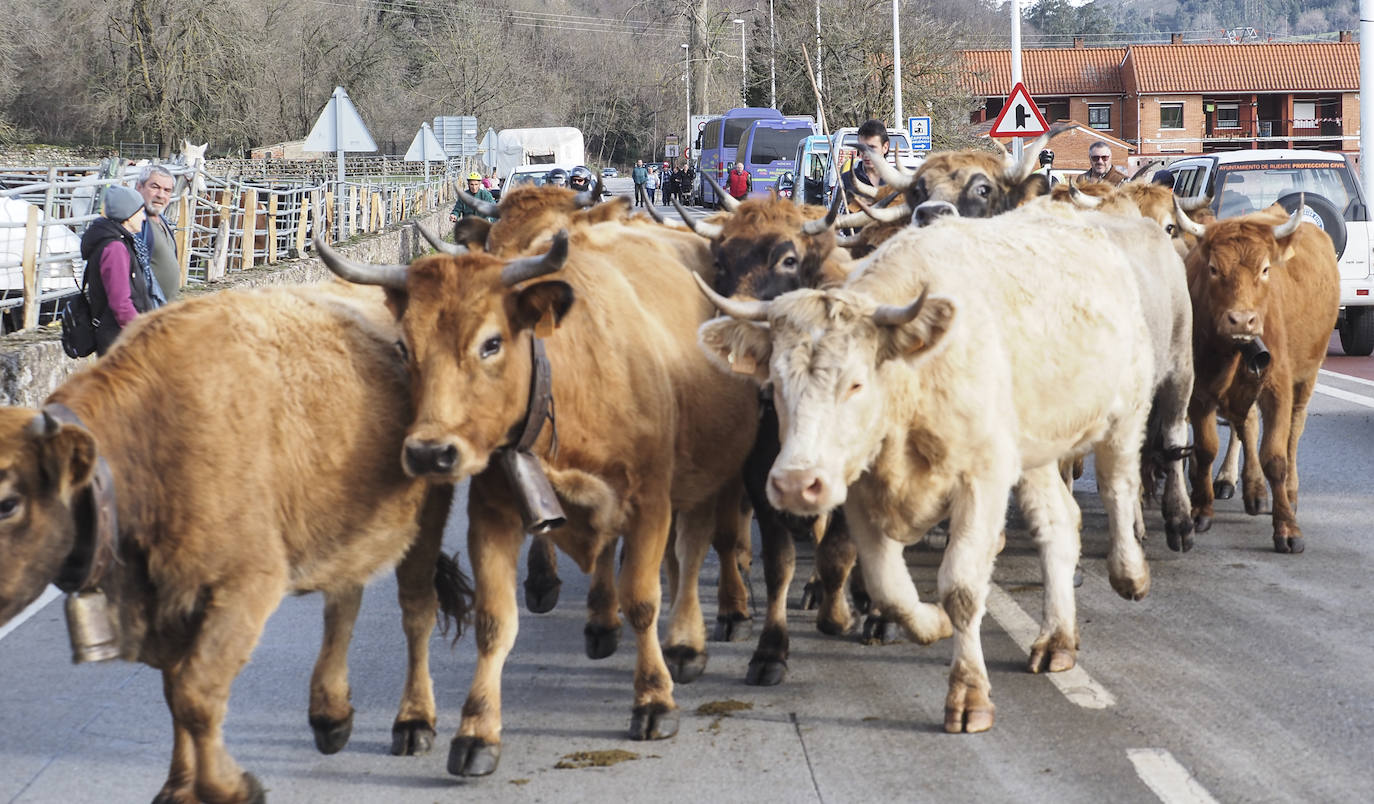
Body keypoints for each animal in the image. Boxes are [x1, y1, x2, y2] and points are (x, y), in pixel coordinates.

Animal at [0, 283, 472, 802]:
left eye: (7, 503)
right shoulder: (168, 604)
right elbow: (175, 693)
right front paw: (179, 788)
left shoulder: (244, 587)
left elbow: (195, 694)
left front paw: (230, 786)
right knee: (344, 601)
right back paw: (330, 716)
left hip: (427, 515)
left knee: (416, 608)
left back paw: (414, 722)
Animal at [320, 218, 758, 769]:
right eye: (403, 347)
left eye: (491, 343)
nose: (429, 453)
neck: (568, 391)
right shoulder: (493, 513)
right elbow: (494, 622)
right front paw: (477, 731)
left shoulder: (651, 502)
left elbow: (643, 599)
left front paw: (654, 700)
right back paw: (602, 624)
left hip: (711, 472)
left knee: (698, 550)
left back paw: (690, 640)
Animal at [697, 204, 1159, 731]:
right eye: (774, 383)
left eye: (855, 383)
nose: (795, 484)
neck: (913, 383)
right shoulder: (862, 495)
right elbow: (888, 587)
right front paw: (932, 623)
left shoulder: (982, 481)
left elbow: (961, 586)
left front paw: (969, 694)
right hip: (1035, 450)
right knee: (1059, 525)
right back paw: (1057, 638)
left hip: (1126, 410)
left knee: (1118, 484)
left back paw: (1130, 573)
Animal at [1170, 202, 1341, 552]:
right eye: (1213, 269)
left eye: (1264, 270)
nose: (1241, 320)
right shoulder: (1200, 393)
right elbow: (1206, 449)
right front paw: (1201, 510)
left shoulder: (1277, 388)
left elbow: (1275, 457)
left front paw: (1287, 528)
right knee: (1246, 424)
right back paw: (1253, 491)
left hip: (1308, 375)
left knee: (1294, 430)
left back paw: (1289, 492)